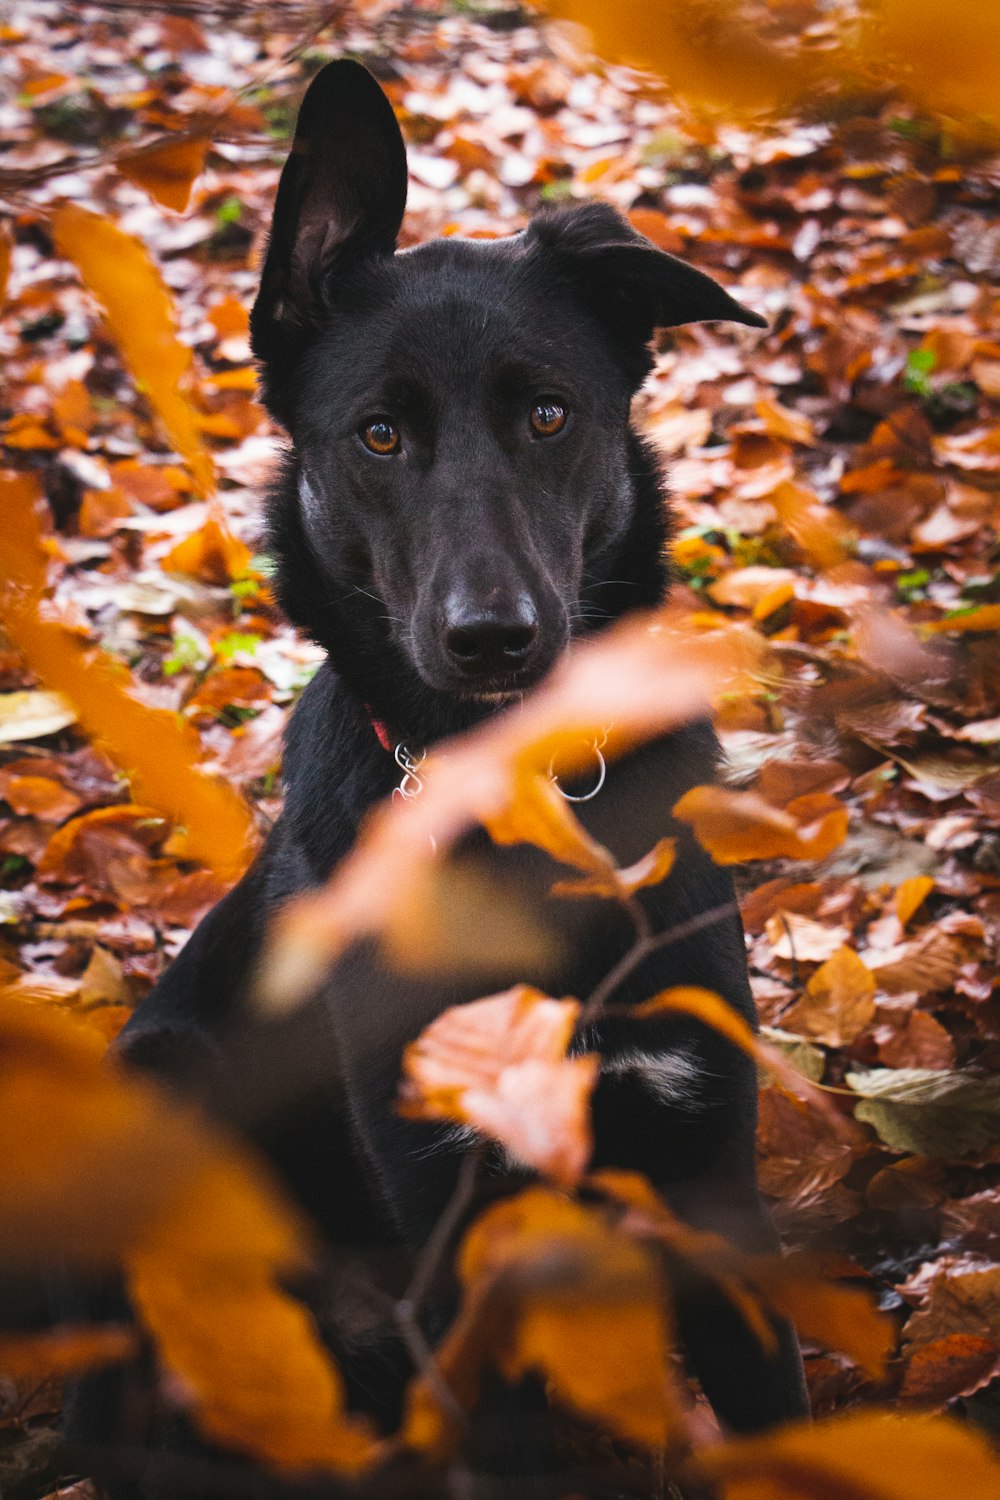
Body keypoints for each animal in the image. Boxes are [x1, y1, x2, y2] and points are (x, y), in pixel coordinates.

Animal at [68, 58, 803, 1488]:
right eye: (377, 437)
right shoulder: (449, 1216)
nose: (491, 639)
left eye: (549, 414)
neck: (517, 809)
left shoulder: (712, 1174)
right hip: (162, 1083)